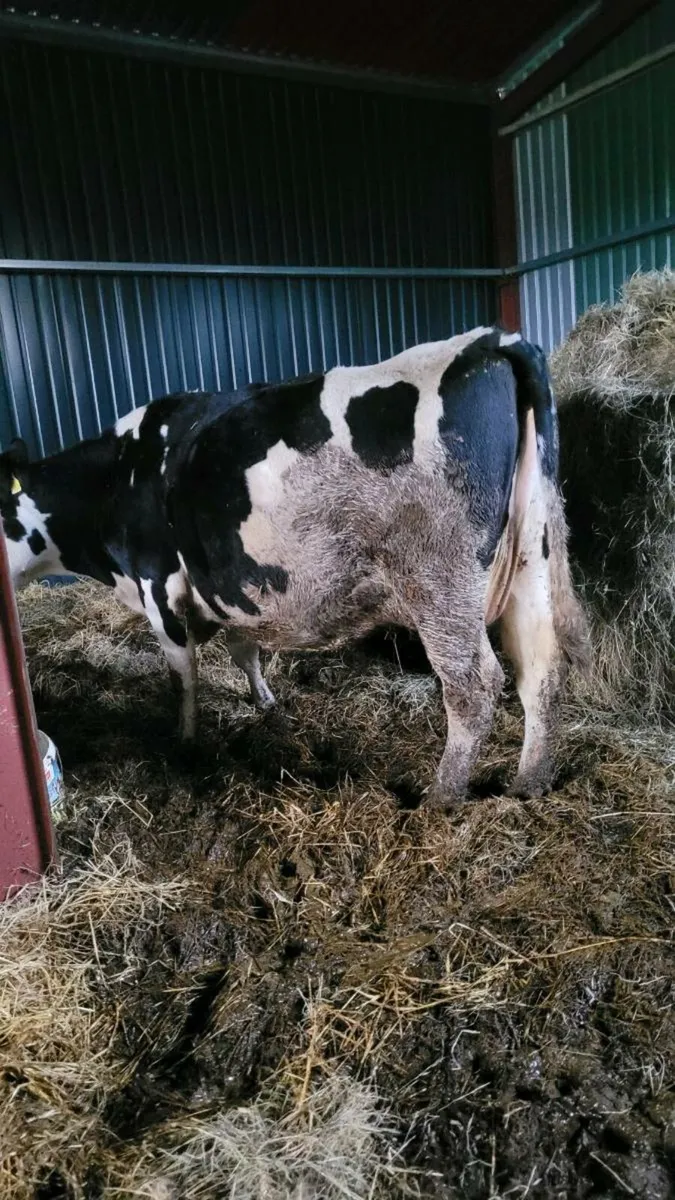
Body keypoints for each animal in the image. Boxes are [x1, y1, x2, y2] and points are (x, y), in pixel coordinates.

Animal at [0, 326, 589, 806]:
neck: (116, 476)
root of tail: (490, 340)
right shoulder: (232, 586)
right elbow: (244, 648)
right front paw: (265, 704)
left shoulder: (157, 582)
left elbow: (182, 674)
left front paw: (186, 743)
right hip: (530, 557)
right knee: (541, 668)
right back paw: (529, 784)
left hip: (439, 578)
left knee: (472, 684)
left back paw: (440, 798)